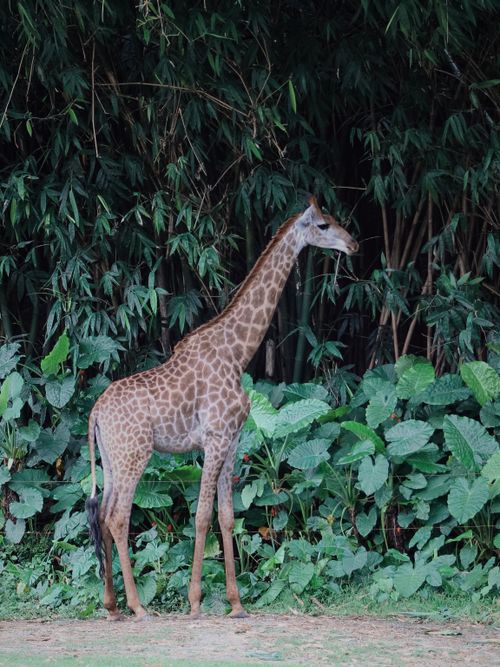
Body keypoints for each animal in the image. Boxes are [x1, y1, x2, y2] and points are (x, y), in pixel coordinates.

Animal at [86, 195, 358, 621]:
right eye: (324, 225)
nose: (353, 245)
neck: (237, 353)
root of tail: (95, 412)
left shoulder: (232, 442)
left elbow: (228, 517)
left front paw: (236, 603)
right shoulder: (214, 439)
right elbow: (200, 517)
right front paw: (196, 602)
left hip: (113, 459)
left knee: (101, 515)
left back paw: (112, 607)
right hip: (135, 455)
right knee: (117, 516)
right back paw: (137, 606)